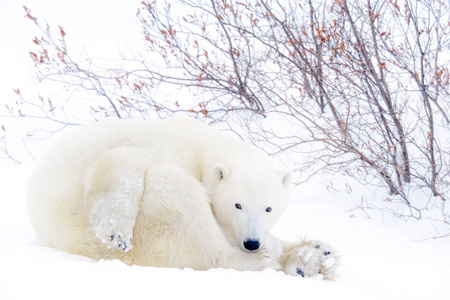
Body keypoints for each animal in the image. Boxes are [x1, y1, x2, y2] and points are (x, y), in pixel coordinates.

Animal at [26, 117, 340, 278]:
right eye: (237, 204)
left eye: (269, 208)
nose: (251, 243)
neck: (198, 148)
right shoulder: (141, 145)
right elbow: (120, 163)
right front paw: (117, 232)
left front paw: (314, 252)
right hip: (152, 230)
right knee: (189, 220)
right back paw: (269, 258)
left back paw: (315, 255)